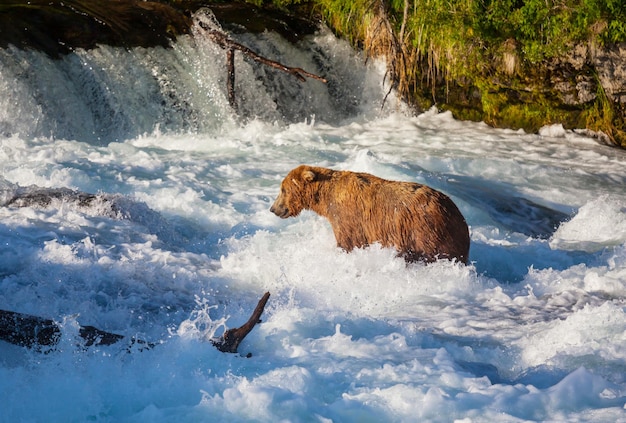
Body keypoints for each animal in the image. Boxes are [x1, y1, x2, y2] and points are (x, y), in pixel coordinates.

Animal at [268, 164, 468, 264]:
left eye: (283, 190)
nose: (273, 208)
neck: (327, 198)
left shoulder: (348, 218)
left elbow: (348, 242)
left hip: (426, 231)